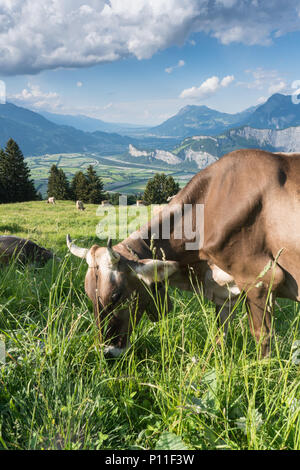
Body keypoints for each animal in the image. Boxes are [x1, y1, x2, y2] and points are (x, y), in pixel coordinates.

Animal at [67, 149, 300, 358]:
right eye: (88, 293)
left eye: (116, 296)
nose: (106, 352)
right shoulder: (225, 290)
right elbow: (219, 335)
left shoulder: (261, 280)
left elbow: (262, 337)